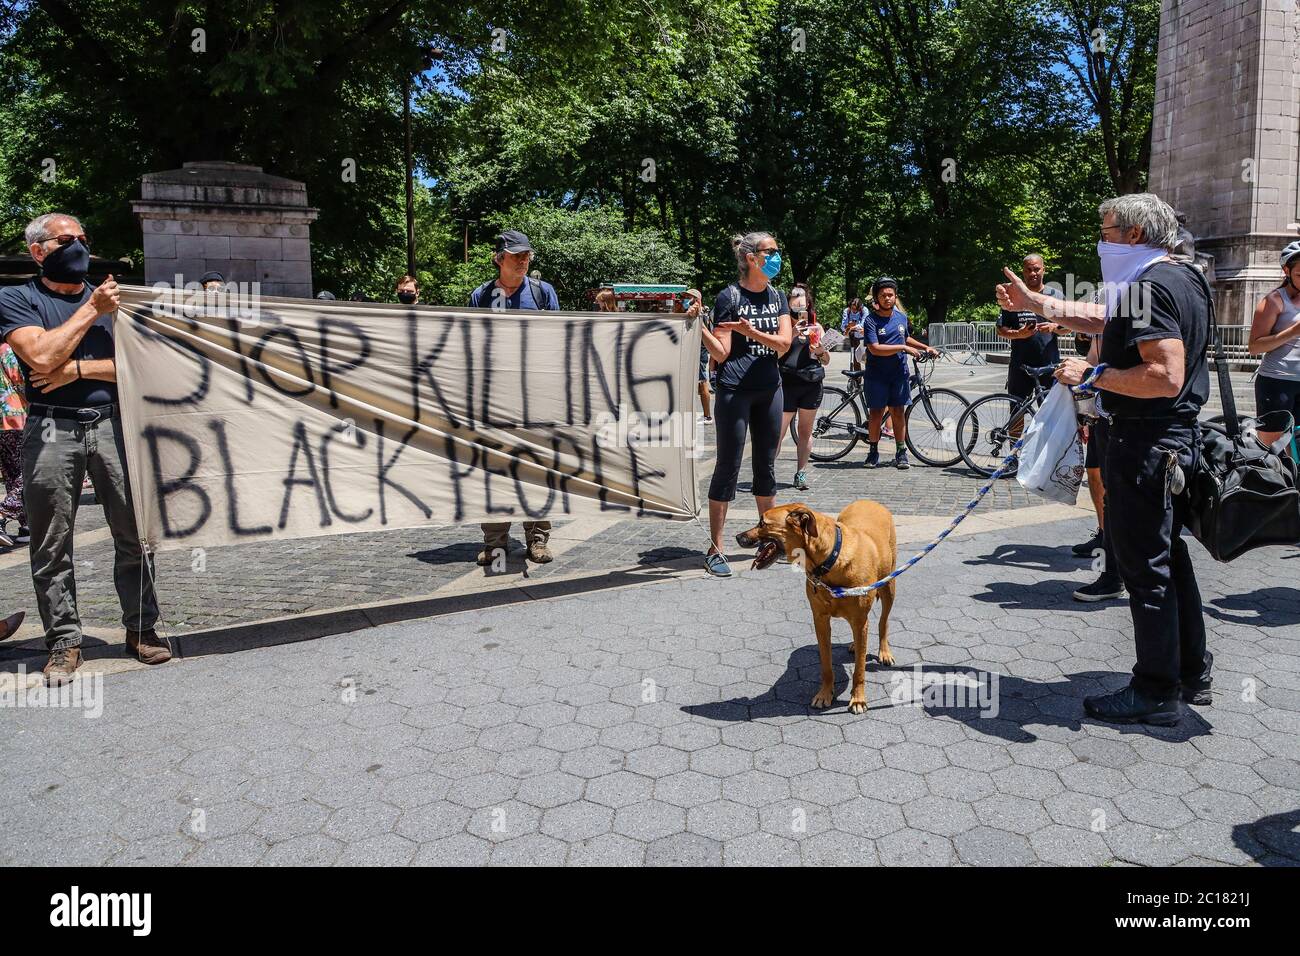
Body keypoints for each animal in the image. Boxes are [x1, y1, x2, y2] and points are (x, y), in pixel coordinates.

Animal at [738, 504, 899, 712]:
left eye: (762, 523)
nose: (737, 537)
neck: (830, 561)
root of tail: (871, 501)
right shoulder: (820, 620)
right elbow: (826, 665)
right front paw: (824, 694)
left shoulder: (859, 617)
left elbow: (859, 669)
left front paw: (858, 699)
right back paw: (855, 645)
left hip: (889, 586)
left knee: (882, 622)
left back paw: (884, 652)